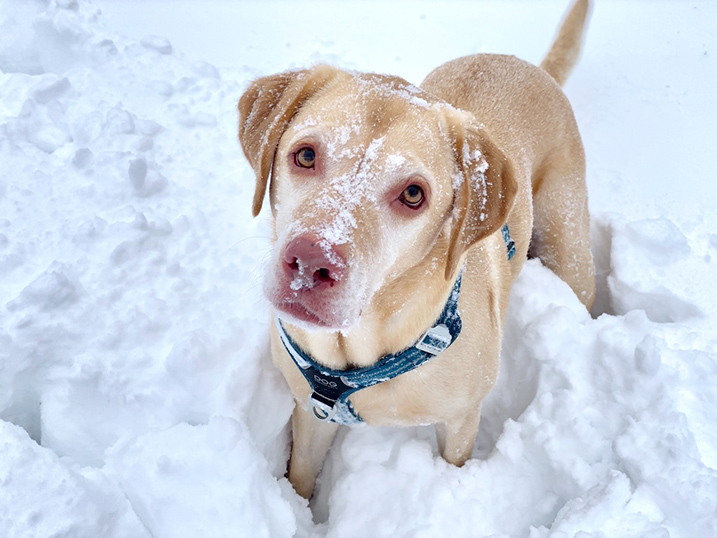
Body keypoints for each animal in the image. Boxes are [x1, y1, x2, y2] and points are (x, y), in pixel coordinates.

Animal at [235, 0, 592, 496]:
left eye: (412, 194)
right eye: (305, 155)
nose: (309, 262)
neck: (358, 353)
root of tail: (536, 69)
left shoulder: (462, 420)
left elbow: (456, 461)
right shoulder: (311, 412)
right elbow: (301, 474)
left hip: (570, 251)